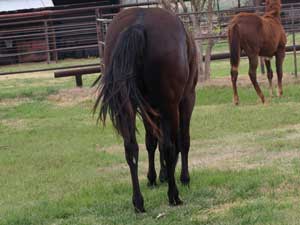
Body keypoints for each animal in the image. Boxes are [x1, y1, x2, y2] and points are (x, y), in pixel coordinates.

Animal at [92, 7, 198, 213]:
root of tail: (138, 24)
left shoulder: (149, 108)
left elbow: (151, 141)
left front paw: (155, 176)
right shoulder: (187, 99)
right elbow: (182, 140)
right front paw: (183, 177)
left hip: (127, 106)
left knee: (131, 148)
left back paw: (138, 201)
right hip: (170, 105)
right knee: (170, 146)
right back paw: (173, 195)